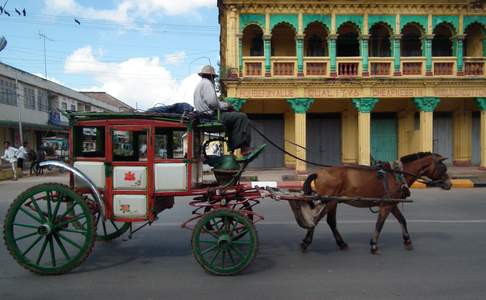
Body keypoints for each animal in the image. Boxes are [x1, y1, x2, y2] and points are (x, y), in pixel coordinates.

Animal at [288, 154, 452, 254]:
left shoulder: (392, 203)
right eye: (443, 167)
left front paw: (407, 240)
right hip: (328, 201)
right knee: (316, 219)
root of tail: (319, 172)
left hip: (332, 201)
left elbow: (402, 220)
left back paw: (341, 243)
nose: (449, 184)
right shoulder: (386, 205)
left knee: (330, 221)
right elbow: (380, 224)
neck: (397, 174)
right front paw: (373, 245)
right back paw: (306, 243)